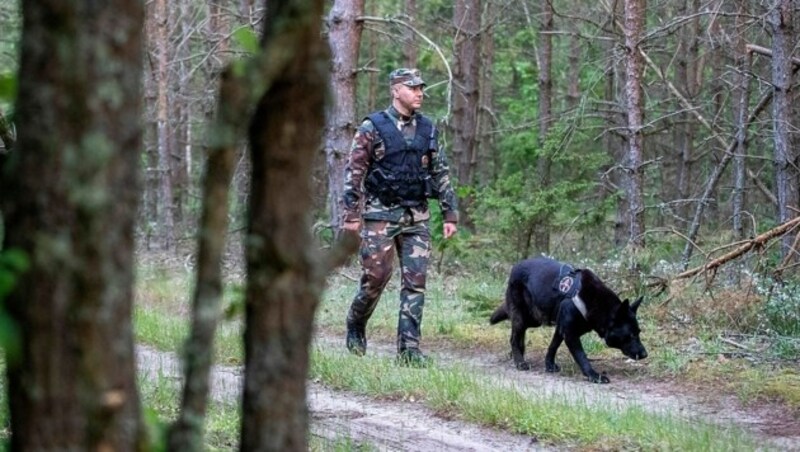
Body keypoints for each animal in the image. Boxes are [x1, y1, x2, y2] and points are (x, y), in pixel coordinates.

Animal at [488, 258, 648, 382]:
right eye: (631, 335)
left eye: (639, 332)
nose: (645, 354)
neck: (595, 303)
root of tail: (515, 266)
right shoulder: (570, 334)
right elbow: (582, 356)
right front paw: (593, 376)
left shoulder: (561, 329)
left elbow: (553, 346)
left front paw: (549, 365)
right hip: (522, 317)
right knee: (514, 337)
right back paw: (520, 361)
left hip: (535, 318)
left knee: (518, 334)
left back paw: (517, 355)